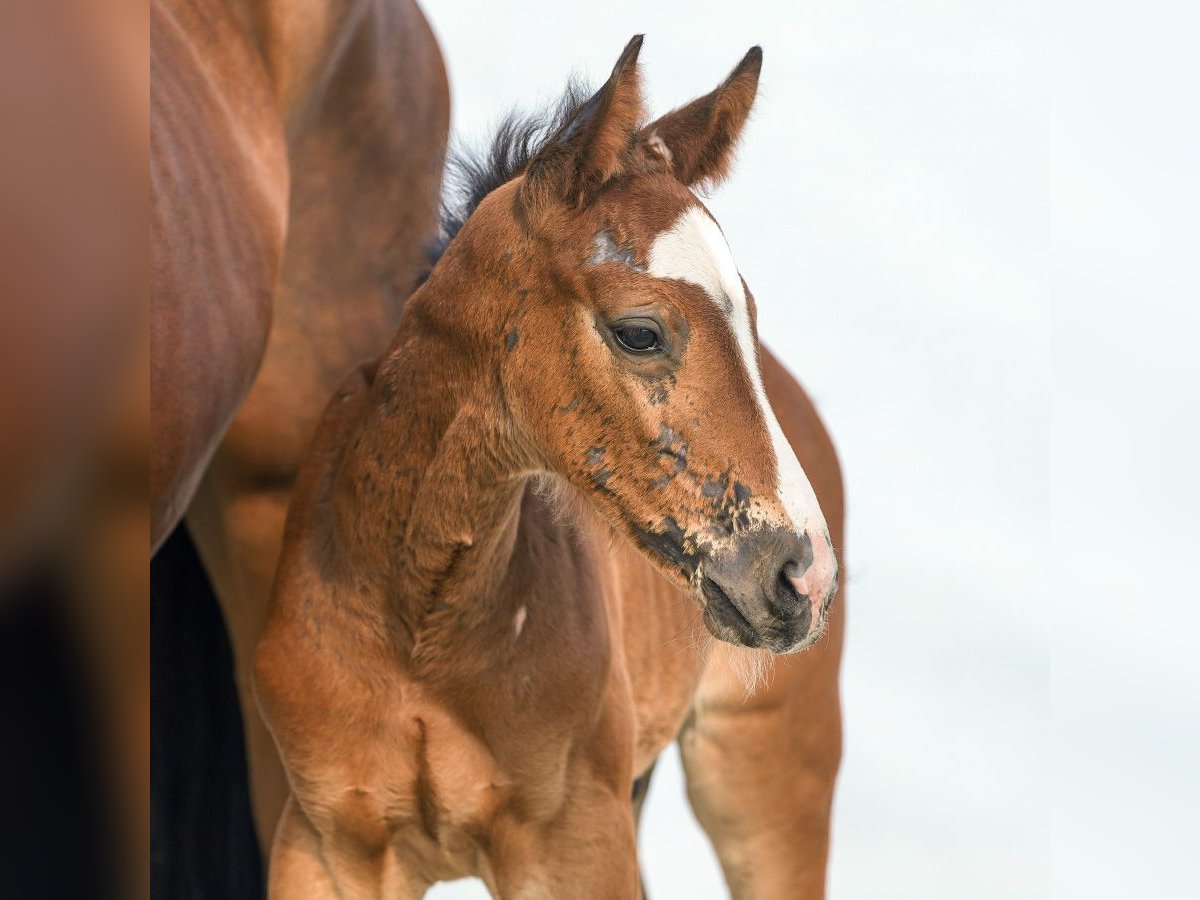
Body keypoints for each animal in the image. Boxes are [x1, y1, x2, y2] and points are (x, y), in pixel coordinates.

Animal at [258, 38, 849, 897]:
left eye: (750, 320)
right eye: (640, 331)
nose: (802, 572)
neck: (419, 626)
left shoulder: (578, 843)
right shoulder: (324, 841)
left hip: (767, 764)